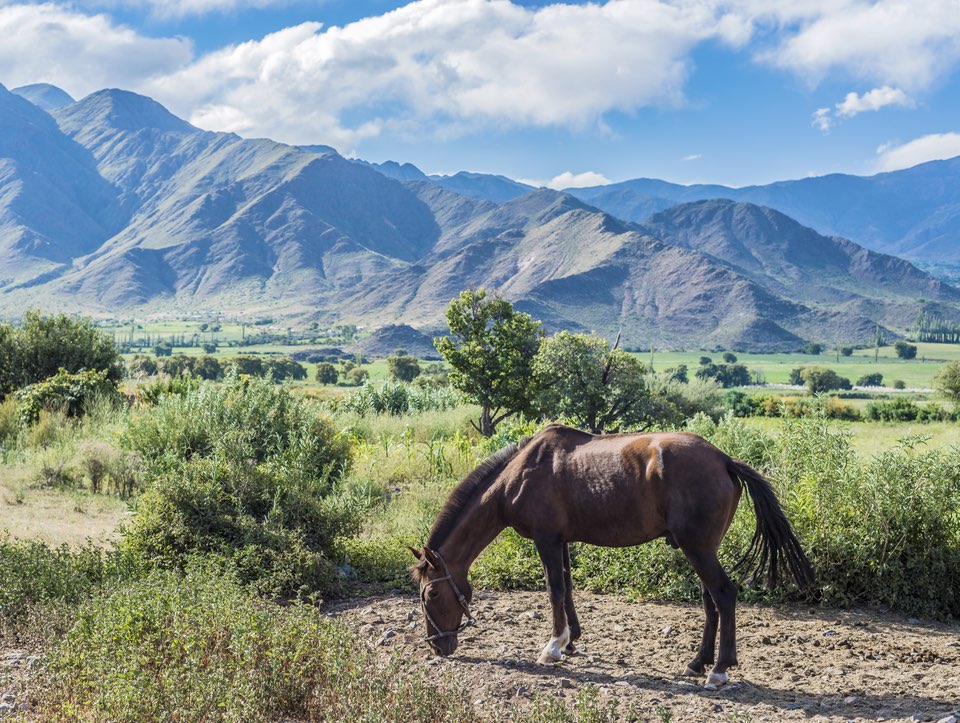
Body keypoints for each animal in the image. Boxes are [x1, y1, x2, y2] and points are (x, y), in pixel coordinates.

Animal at [408, 424, 812, 692]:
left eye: (431, 594)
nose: (437, 646)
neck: (518, 474)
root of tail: (724, 459)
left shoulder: (546, 540)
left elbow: (554, 589)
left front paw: (552, 647)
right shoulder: (562, 541)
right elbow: (568, 588)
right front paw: (571, 641)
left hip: (697, 548)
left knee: (724, 595)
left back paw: (720, 669)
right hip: (700, 549)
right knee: (709, 600)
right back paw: (698, 662)